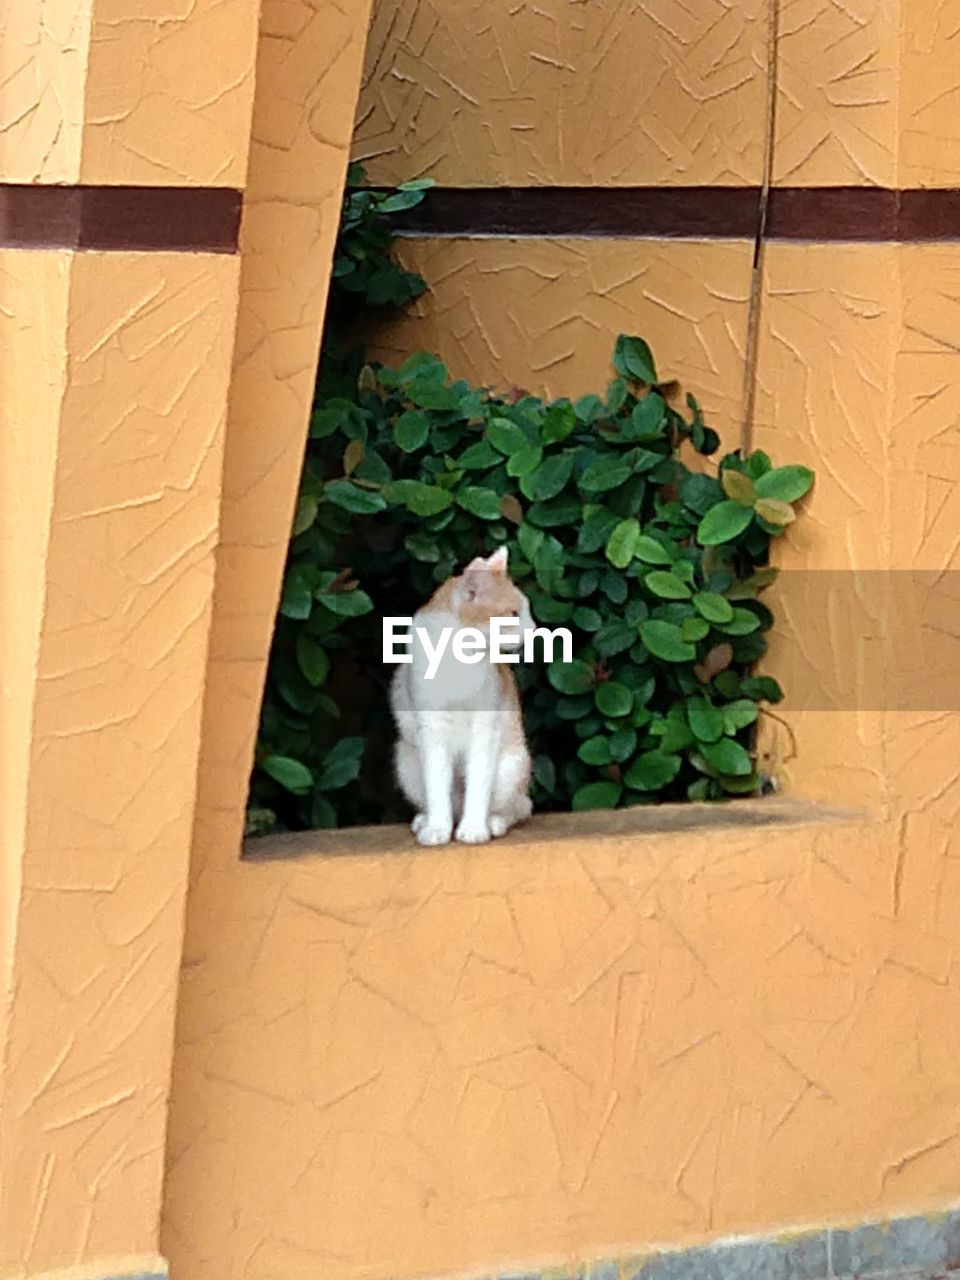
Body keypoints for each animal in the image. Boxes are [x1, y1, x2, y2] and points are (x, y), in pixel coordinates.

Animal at [391, 545, 542, 844]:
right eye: (513, 614)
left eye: (527, 611)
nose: (534, 630)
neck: (459, 657)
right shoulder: (432, 729)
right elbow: (437, 785)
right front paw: (436, 829)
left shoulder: (486, 728)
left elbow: (479, 783)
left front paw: (474, 829)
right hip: (407, 758)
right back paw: (427, 820)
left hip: (511, 766)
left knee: (517, 808)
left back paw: (493, 822)